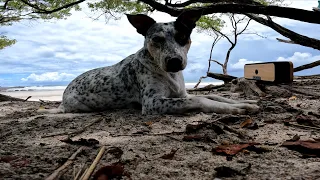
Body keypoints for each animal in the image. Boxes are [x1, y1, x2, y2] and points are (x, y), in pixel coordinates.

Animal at [39, 10, 260, 115]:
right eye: (156, 39)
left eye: (182, 37)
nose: (174, 61)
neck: (169, 75)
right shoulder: (153, 102)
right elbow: (201, 100)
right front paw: (235, 109)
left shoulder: (182, 93)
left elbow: (217, 96)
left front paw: (244, 102)